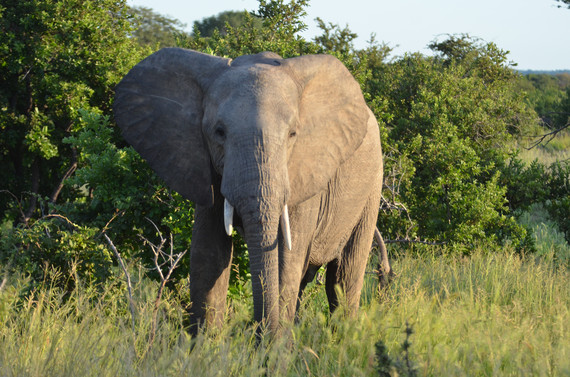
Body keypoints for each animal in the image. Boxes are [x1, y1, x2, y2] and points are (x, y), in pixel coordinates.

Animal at [112, 47, 382, 334]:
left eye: (292, 134)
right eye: (219, 132)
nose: (257, 333)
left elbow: (285, 261)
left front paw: (273, 346)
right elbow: (208, 257)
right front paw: (205, 344)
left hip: (372, 186)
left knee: (344, 276)